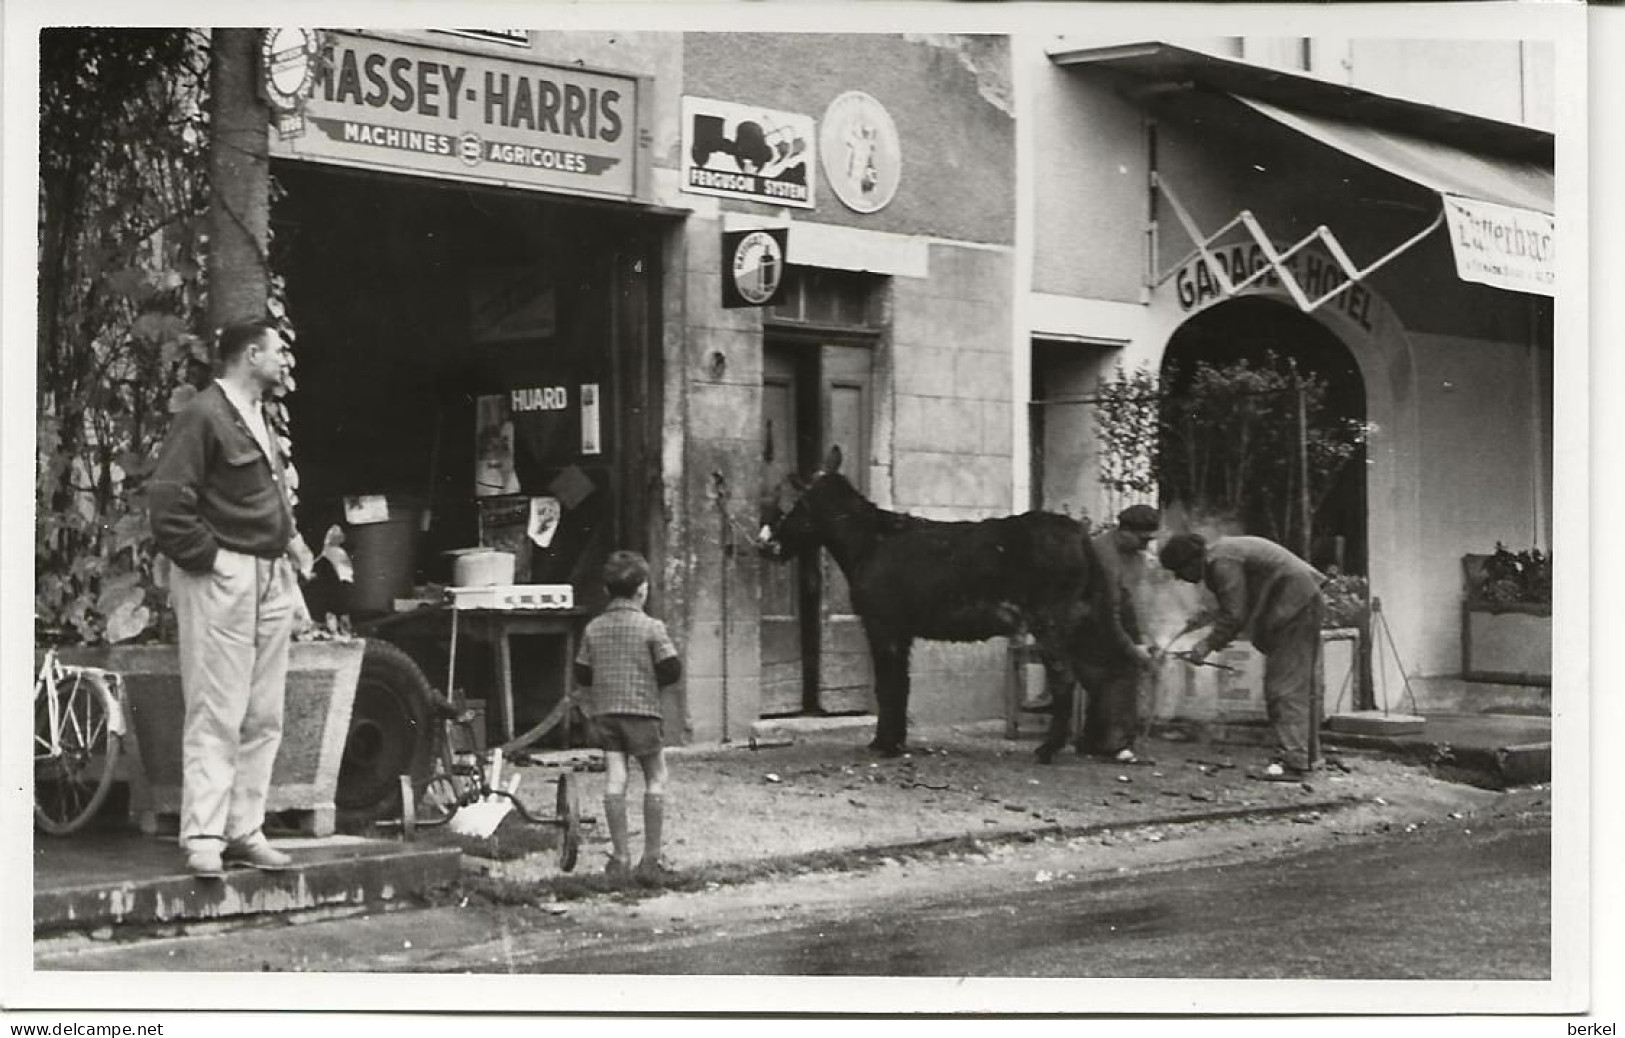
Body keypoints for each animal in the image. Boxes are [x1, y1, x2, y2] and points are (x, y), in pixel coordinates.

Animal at [758, 445, 1096, 762]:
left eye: (798, 504)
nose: (766, 545)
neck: (868, 542)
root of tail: (1078, 531)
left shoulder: (882, 626)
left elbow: (887, 685)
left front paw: (885, 745)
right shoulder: (901, 632)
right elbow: (902, 685)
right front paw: (893, 741)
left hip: (1049, 621)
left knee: (1065, 680)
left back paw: (1048, 749)